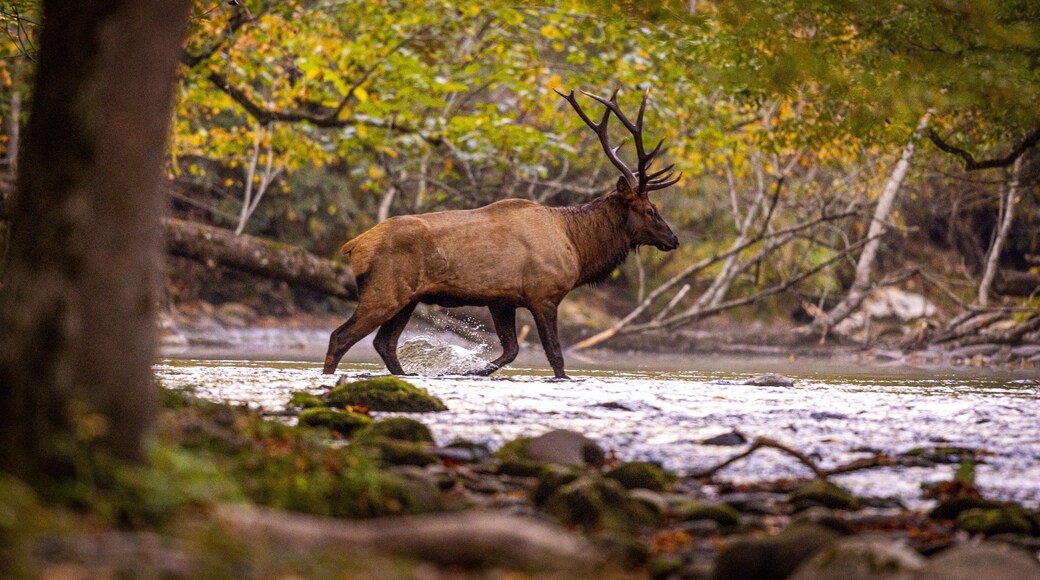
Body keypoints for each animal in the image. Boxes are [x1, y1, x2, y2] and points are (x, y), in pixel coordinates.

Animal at [323, 87, 681, 379]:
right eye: (650, 210)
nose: (674, 239)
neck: (579, 248)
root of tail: (353, 246)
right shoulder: (544, 294)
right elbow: (555, 357)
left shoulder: (502, 300)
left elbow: (510, 351)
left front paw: (469, 372)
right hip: (383, 291)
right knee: (340, 337)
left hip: (407, 299)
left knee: (385, 344)